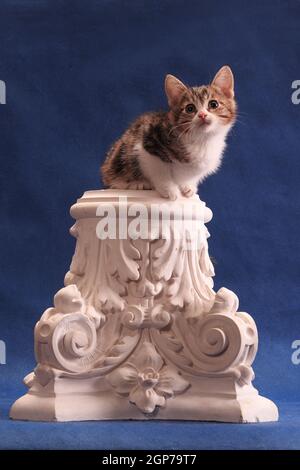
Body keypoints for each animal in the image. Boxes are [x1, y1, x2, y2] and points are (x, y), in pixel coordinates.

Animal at [101, 65, 237, 198]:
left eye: (213, 104)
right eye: (190, 108)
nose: (202, 115)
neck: (202, 140)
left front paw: (188, 186)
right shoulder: (147, 144)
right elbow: (159, 170)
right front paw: (170, 190)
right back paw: (138, 184)